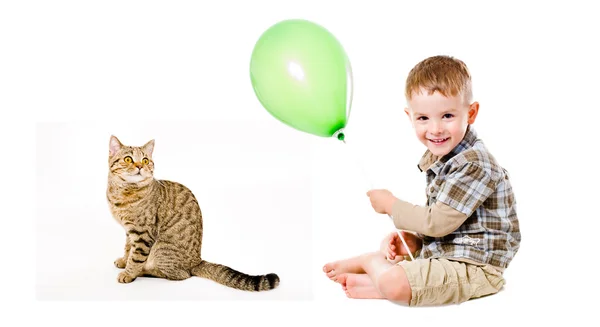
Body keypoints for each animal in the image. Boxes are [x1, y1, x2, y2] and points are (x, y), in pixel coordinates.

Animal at [105, 136, 278, 292]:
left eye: (146, 160)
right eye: (128, 159)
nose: (140, 166)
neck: (124, 192)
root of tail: (197, 261)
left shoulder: (143, 233)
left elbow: (136, 256)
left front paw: (129, 273)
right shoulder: (129, 230)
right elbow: (128, 248)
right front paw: (124, 260)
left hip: (162, 249)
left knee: (181, 274)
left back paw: (143, 271)